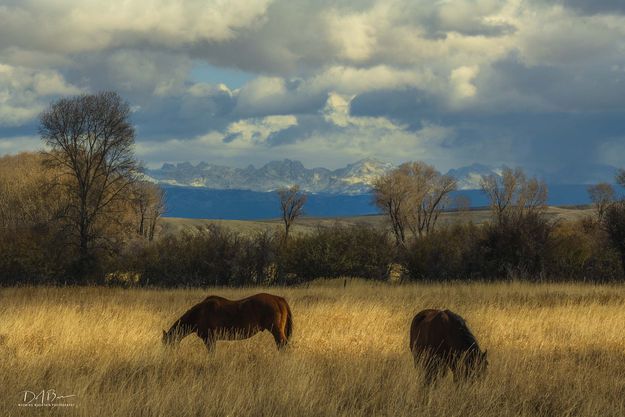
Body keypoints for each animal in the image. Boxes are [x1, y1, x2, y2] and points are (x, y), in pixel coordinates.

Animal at [163, 292, 294, 352]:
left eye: (167, 343)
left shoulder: (209, 339)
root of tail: (278, 299)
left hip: (276, 331)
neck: (200, 313)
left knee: (283, 345)